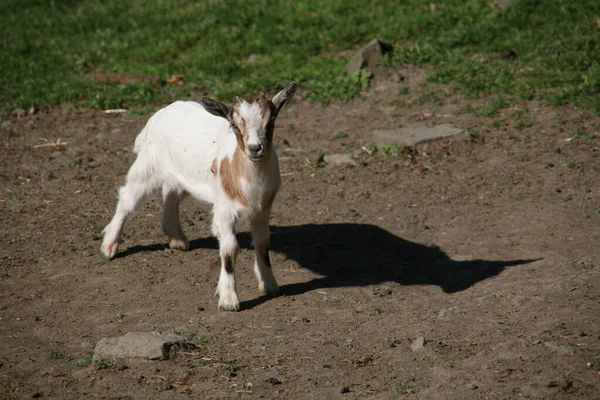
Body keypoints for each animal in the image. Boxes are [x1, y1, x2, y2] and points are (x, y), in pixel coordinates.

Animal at [101, 82, 298, 312]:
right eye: (234, 125)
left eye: (271, 121)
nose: (255, 148)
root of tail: (161, 113)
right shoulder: (224, 209)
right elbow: (229, 249)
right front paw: (228, 299)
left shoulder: (262, 209)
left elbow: (262, 244)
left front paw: (270, 285)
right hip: (148, 165)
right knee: (128, 199)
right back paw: (109, 246)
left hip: (179, 174)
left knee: (170, 196)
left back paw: (177, 239)